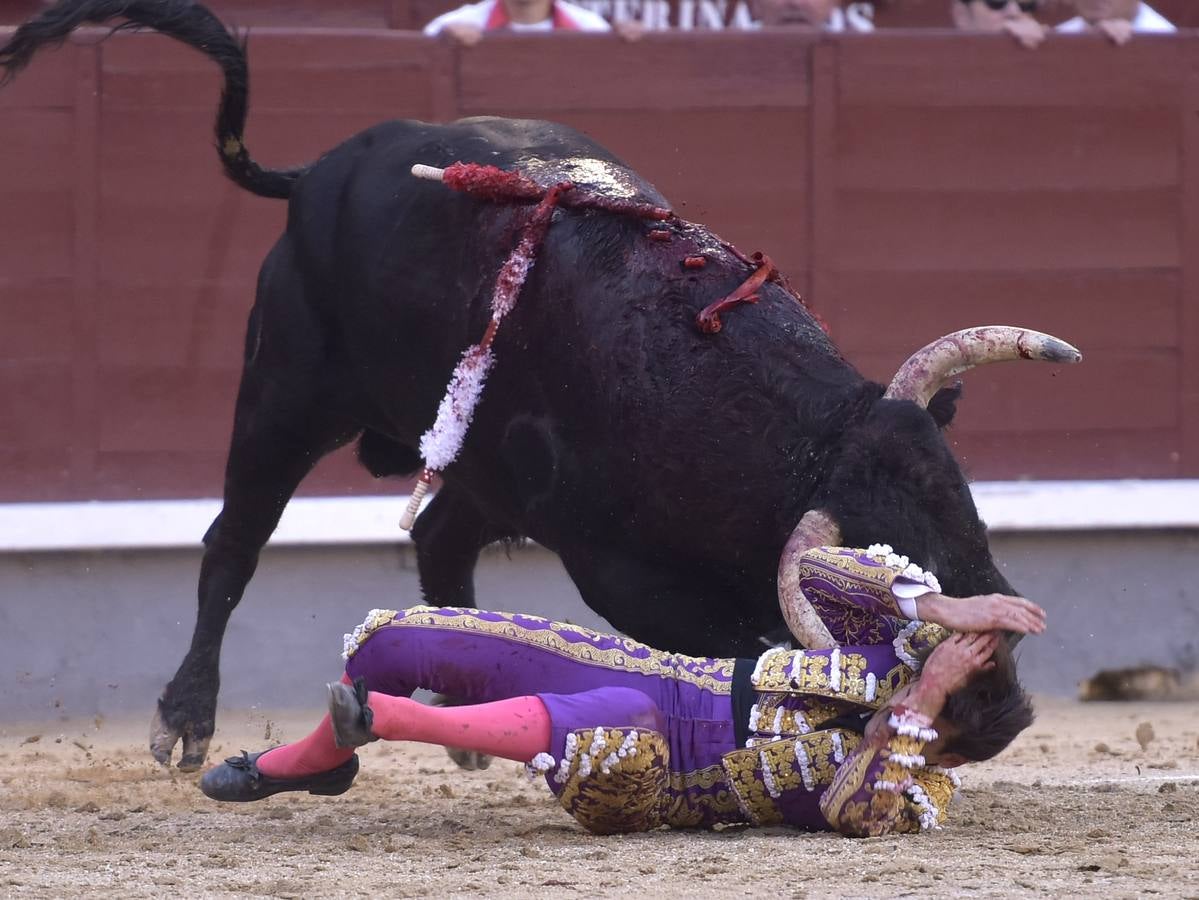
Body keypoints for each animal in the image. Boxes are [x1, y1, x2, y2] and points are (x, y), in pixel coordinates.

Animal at [2, 3, 1088, 771]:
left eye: (965, 515)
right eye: (870, 584)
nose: (993, 711)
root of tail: (318, 171)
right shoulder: (618, 569)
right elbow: (731, 649)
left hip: (477, 466)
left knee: (439, 541)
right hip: (284, 393)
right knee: (234, 541)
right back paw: (184, 724)